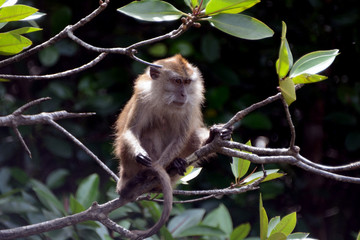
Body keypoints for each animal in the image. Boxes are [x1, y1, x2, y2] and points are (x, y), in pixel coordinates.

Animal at [115, 55, 232, 239]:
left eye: (187, 82)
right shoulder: (142, 97)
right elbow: (130, 131)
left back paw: (178, 162)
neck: (165, 100)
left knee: (191, 137)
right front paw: (141, 156)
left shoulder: (189, 105)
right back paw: (131, 184)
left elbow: (182, 137)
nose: (183, 94)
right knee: (151, 129)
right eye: (177, 81)